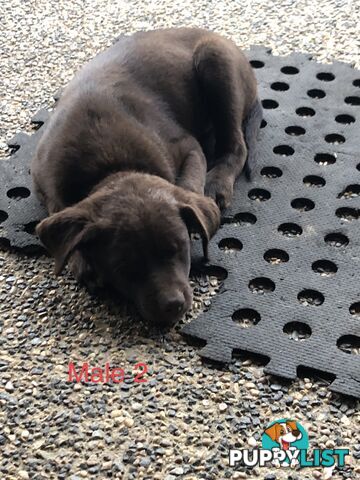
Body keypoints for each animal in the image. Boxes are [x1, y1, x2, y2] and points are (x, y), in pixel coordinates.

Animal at [31, 26, 262, 326]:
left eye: (179, 248)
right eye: (125, 266)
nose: (173, 305)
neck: (112, 165)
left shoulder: (187, 146)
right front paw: (81, 260)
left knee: (235, 145)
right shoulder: (43, 180)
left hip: (216, 61)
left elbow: (188, 184)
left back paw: (217, 183)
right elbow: (60, 209)